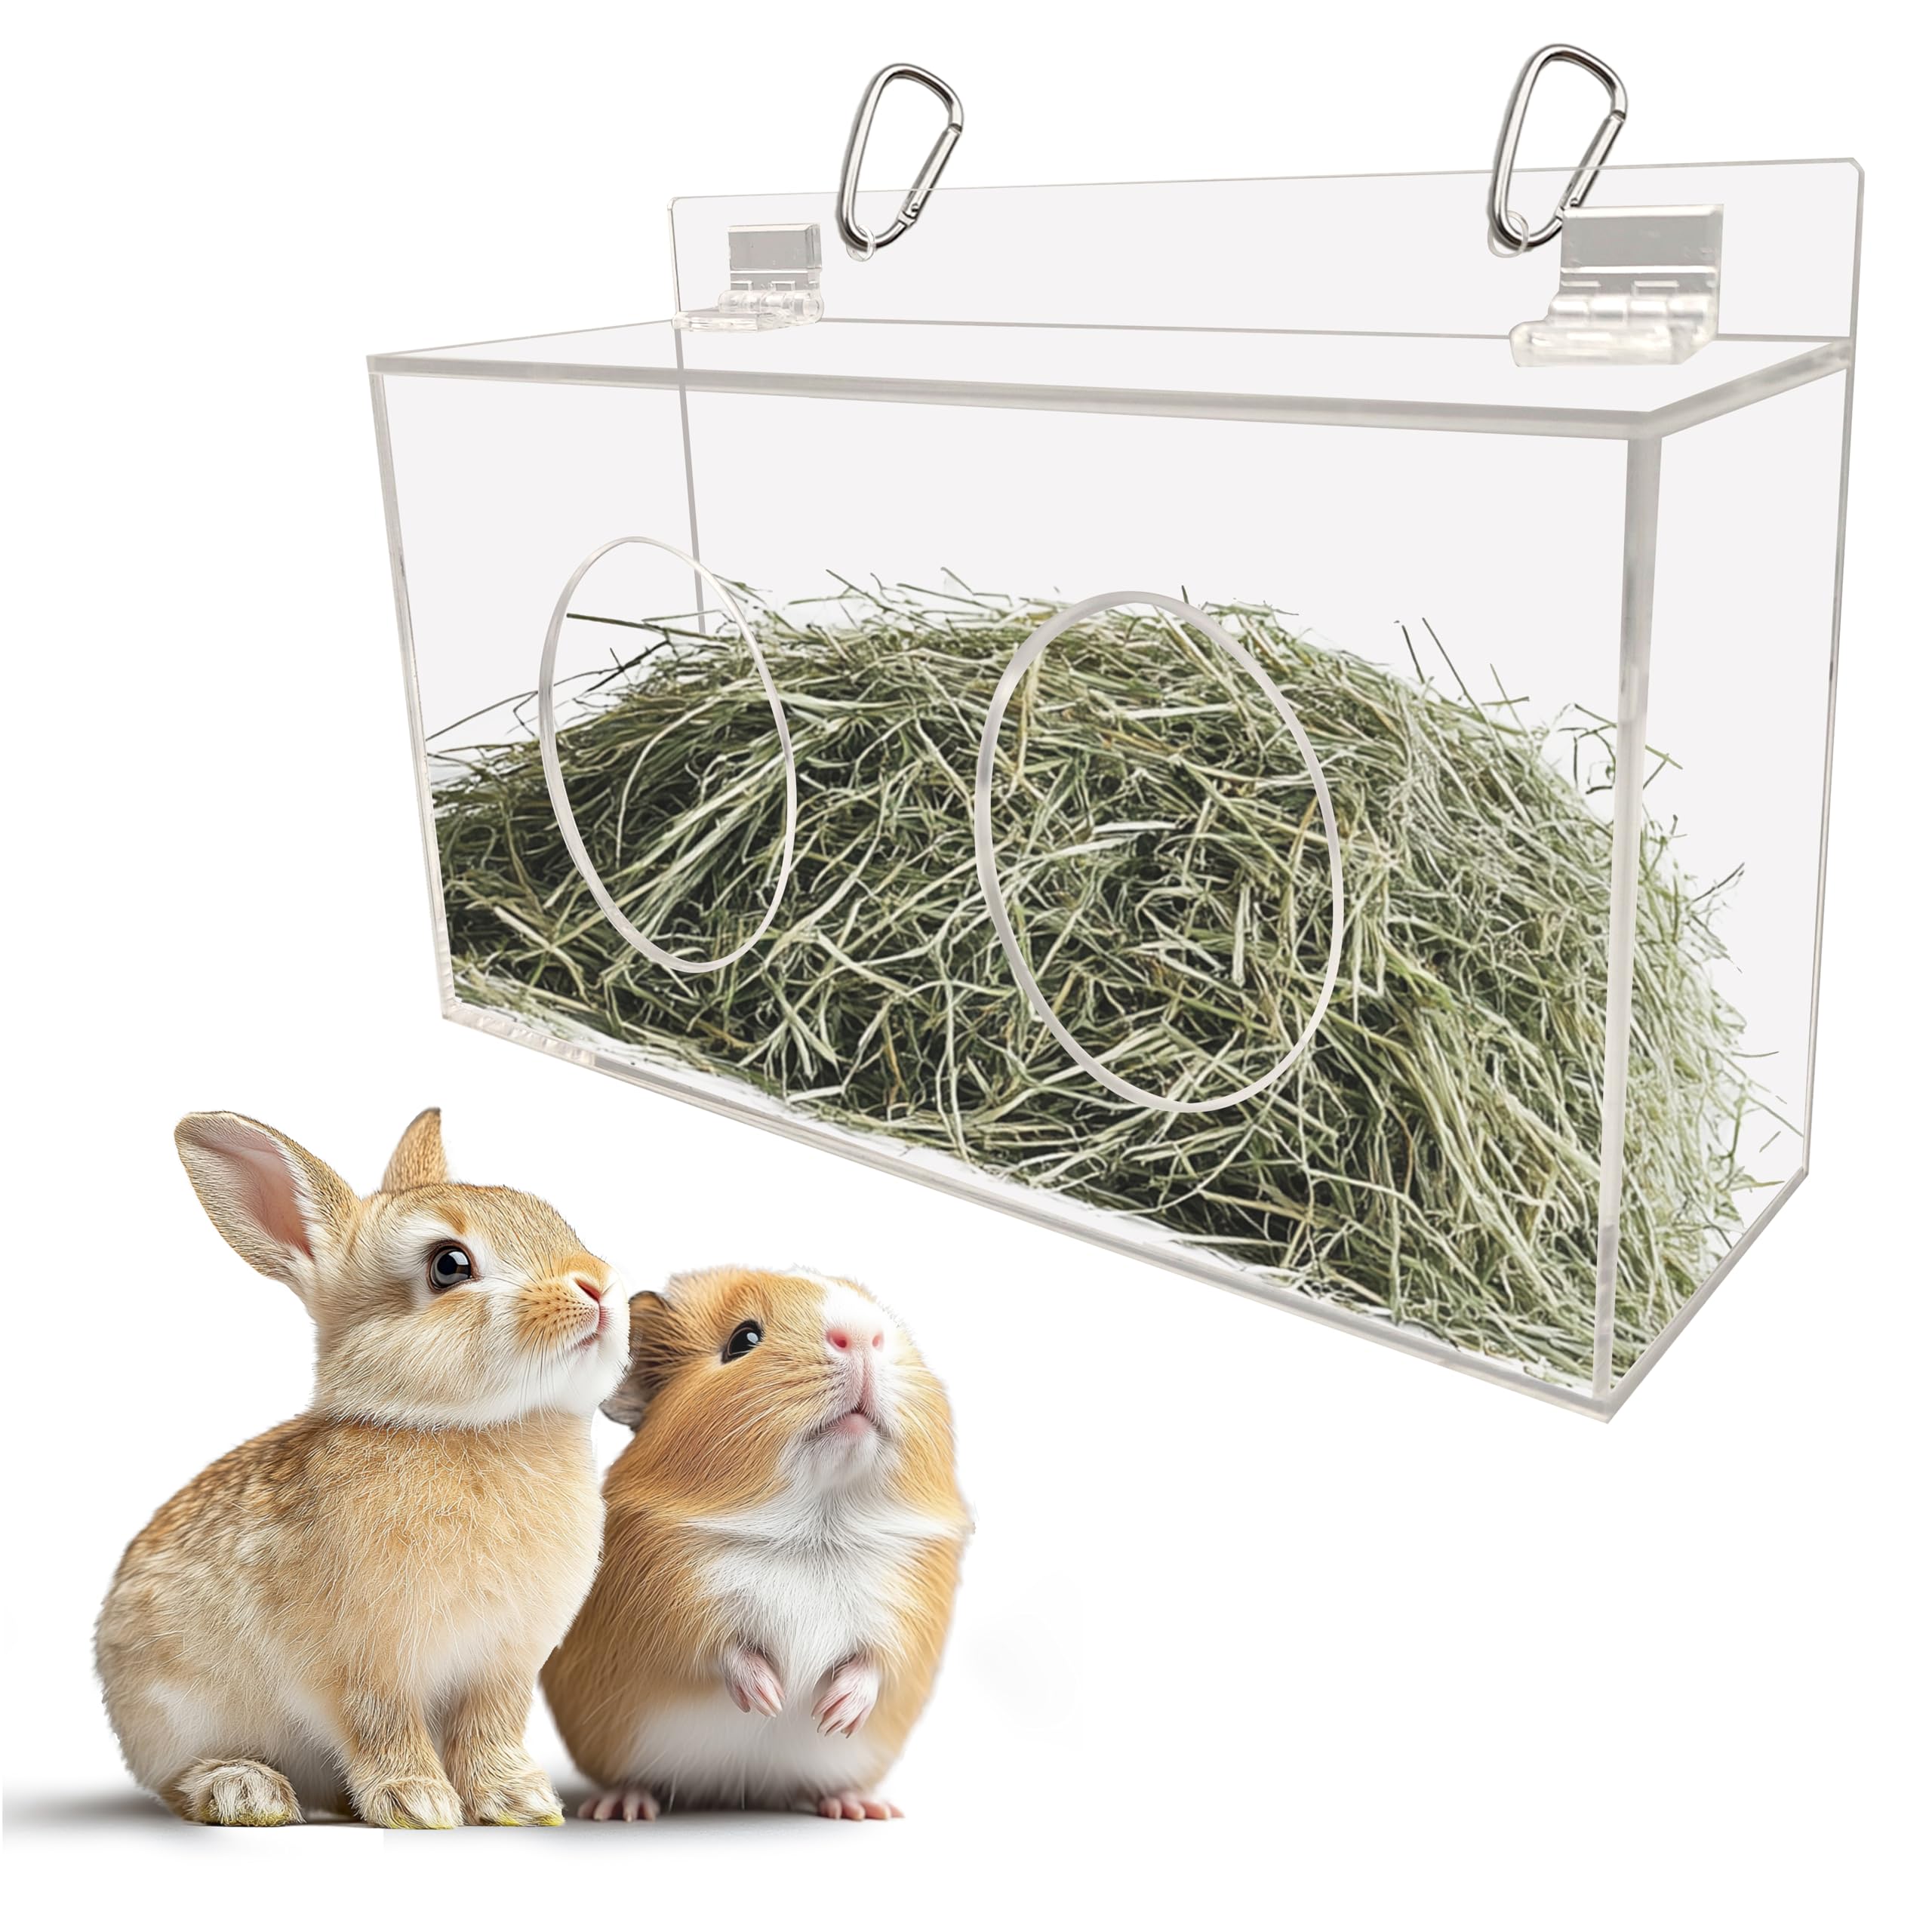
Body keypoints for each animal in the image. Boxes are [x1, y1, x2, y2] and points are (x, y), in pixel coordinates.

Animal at [94, 1107, 629, 1826]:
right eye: (449, 1266)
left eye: (555, 1219)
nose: (597, 1285)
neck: (466, 1426)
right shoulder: (363, 1664)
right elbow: (382, 1725)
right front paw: (419, 1803)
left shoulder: (503, 1665)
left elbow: (489, 1728)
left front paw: (518, 1801)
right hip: (174, 1715)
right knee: (180, 1782)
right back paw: (246, 1790)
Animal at [542, 1266, 969, 1821]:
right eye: (742, 1340)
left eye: (889, 1326)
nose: (860, 1336)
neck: (815, 1532)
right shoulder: (673, 1608)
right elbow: (726, 1654)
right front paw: (770, 1699)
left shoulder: (909, 1618)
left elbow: (873, 1667)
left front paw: (833, 1715)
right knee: (633, 1782)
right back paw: (620, 1809)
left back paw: (860, 1807)